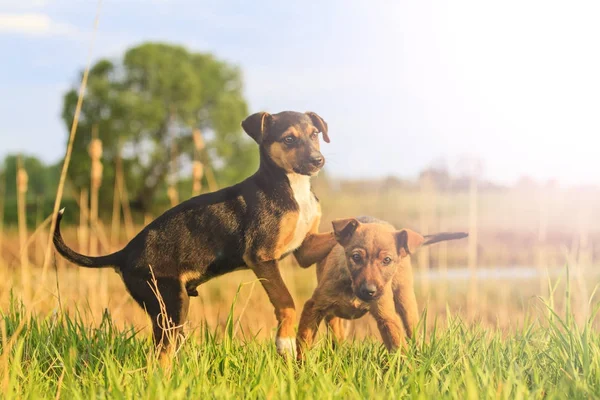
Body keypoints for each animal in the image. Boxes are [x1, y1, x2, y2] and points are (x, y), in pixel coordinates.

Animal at [54, 111, 340, 358]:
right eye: (289, 139)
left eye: (315, 134)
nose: (318, 161)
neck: (293, 186)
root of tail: (123, 253)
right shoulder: (261, 256)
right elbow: (285, 300)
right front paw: (285, 342)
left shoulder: (305, 247)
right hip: (169, 304)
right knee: (160, 357)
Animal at [296, 217, 468, 358]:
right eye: (356, 257)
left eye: (387, 260)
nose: (369, 291)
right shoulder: (314, 306)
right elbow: (303, 343)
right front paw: (302, 369)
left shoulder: (387, 317)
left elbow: (399, 348)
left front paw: (406, 372)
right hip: (332, 314)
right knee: (335, 332)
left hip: (405, 300)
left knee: (412, 330)